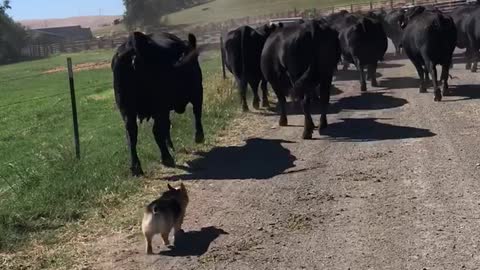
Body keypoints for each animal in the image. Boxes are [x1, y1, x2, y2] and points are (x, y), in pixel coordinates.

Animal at [111, 32, 203, 175]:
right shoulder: (197, 91)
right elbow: (197, 113)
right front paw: (199, 137)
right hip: (161, 107)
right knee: (157, 130)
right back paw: (167, 158)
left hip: (128, 111)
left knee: (131, 134)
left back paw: (136, 168)